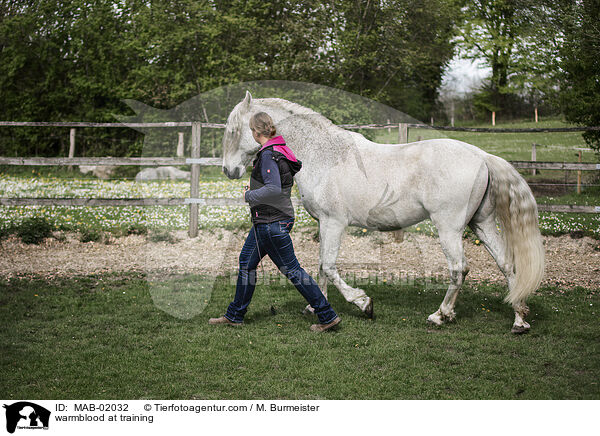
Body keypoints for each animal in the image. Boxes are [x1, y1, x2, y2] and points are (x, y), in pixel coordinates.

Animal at [221, 90, 544, 332]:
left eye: (234, 131)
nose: (228, 170)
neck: (324, 156)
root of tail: (482, 156)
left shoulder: (334, 223)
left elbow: (329, 267)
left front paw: (363, 303)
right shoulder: (324, 224)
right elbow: (321, 268)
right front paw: (315, 307)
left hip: (449, 228)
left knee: (459, 269)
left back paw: (440, 315)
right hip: (482, 223)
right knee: (507, 265)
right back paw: (519, 320)